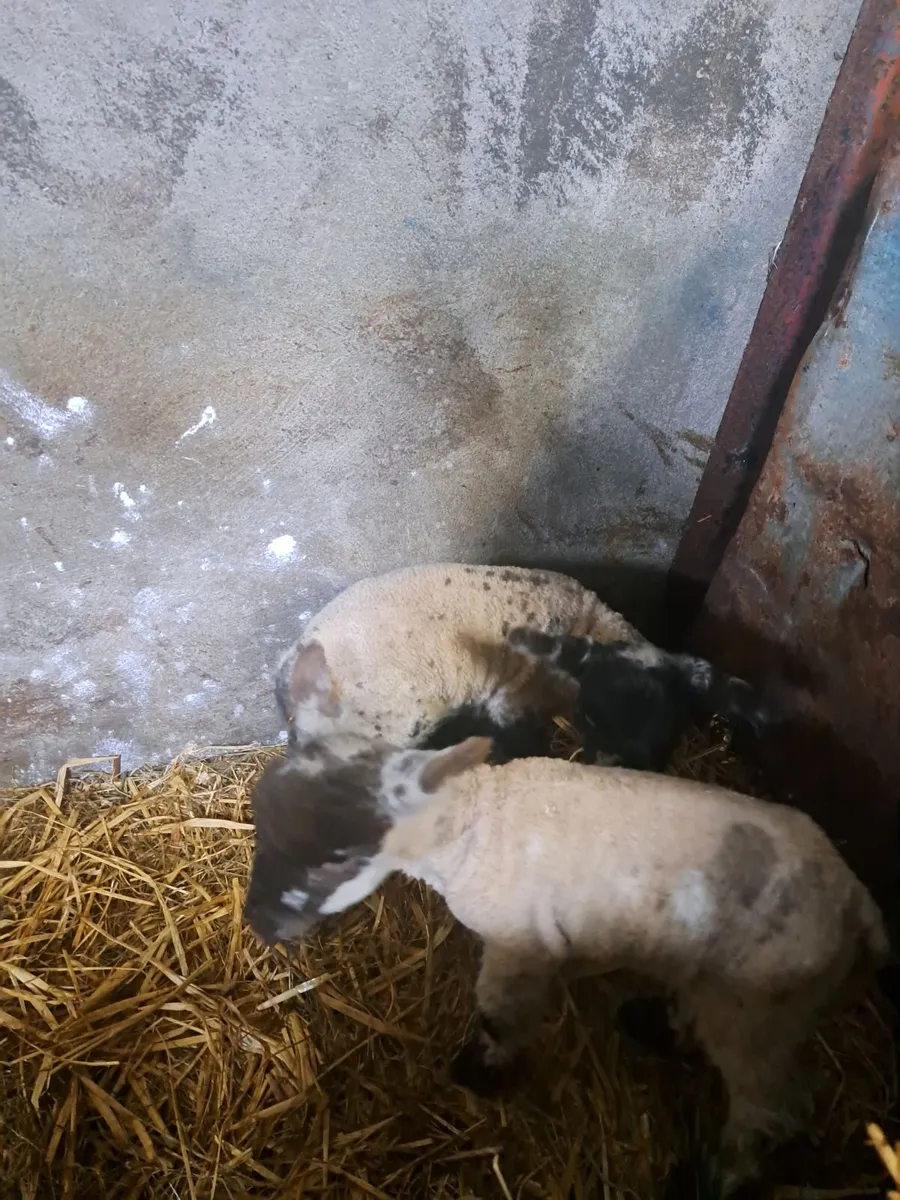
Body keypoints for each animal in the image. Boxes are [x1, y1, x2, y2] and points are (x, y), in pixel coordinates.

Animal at [243, 671, 888, 1194]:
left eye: (335, 861)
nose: (259, 923)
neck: (475, 822)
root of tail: (856, 899)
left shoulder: (519, 946)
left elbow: (500, 1014)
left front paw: (480, 1073)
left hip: (763, 1007)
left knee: (772, 1109)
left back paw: (713, 1180)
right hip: (732, 983)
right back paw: (652, 1026)